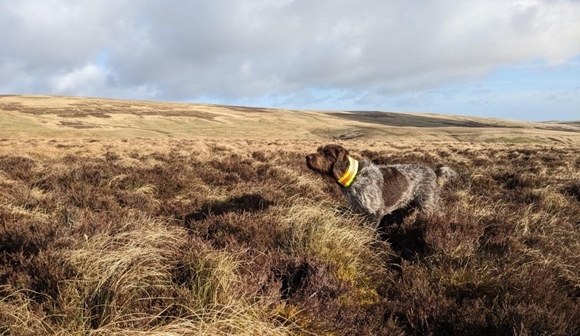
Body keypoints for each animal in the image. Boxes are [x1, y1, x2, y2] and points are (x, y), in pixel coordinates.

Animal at [306, 143, 456, 227]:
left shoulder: (375, 212)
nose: (307, 157)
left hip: (428, 204)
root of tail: (434, 171)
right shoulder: (358, 210)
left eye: (327, 153)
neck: (355, 176)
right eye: (318, 150)